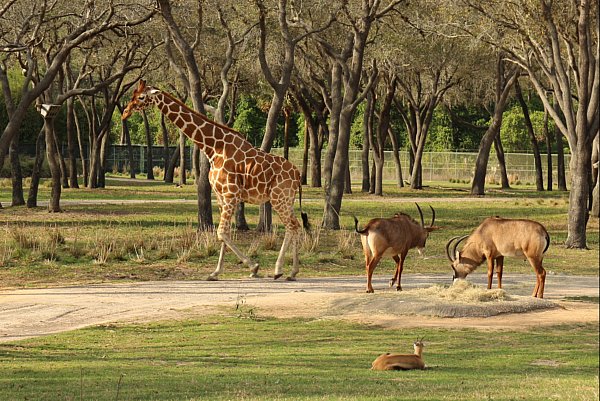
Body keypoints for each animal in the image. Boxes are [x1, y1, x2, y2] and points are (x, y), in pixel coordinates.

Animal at [122, 79, 310, 280]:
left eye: (141, 97)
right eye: (133, 94)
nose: (125, 112)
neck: (213, 147)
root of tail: (297, 175)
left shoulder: (231, 194)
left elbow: (221, 232)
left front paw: (253, 267)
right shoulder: (221, 195)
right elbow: (223, 234)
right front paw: (216, 272)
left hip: (279, 198)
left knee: (291, 225)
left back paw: (279, 270)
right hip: (286, 199)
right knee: (295, 225)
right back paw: (291, 272)